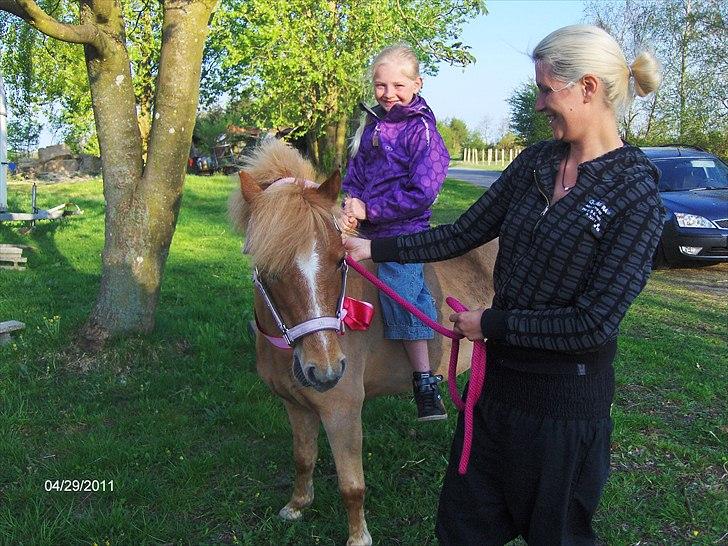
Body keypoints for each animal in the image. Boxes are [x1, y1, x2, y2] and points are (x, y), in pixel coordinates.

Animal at [230, 139, 498, 544]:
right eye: (269, 270)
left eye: (339, 260)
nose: (326, 371)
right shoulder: (295, 405)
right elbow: (303, 458)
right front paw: (296, 506)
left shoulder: (343, 410)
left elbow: (351, 486)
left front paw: (358, 536)